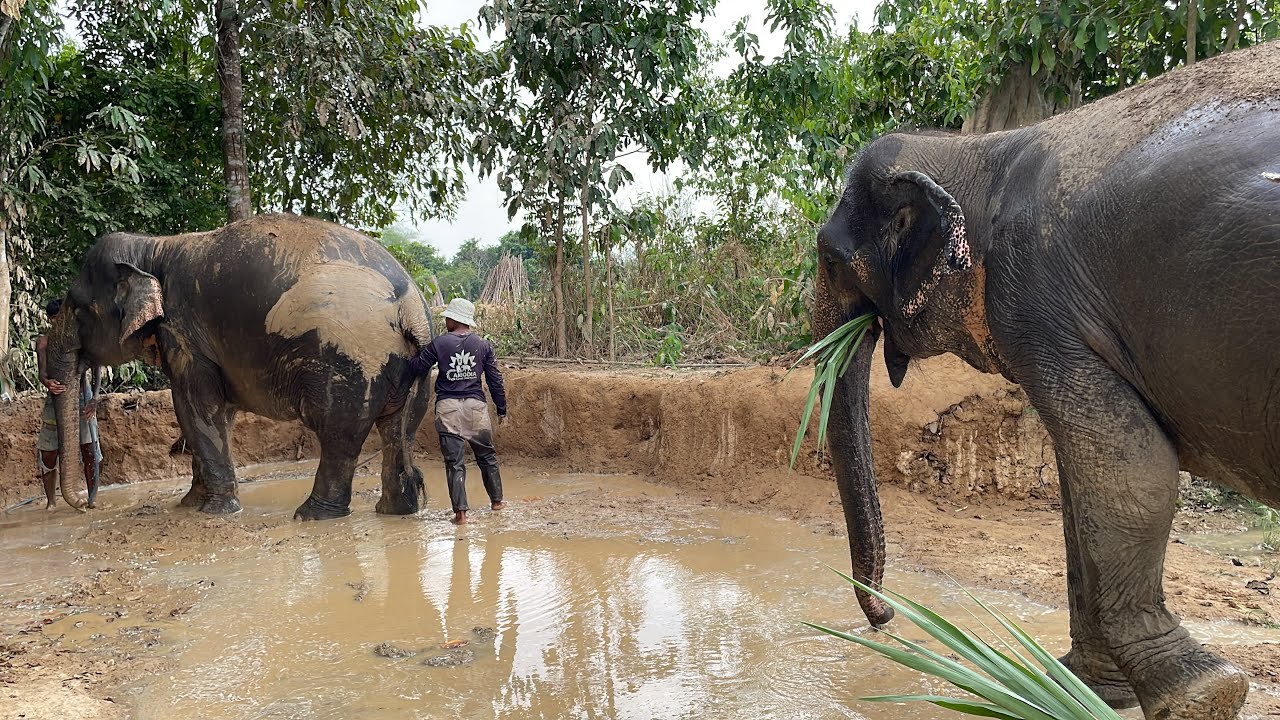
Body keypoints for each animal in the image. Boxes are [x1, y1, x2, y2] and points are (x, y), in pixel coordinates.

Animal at [44, 212, 435, 520]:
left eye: (78, 310)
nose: (88, 505)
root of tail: (413, 305)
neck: (153, 247)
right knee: (397, 429)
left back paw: (311, 516)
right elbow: (220, 412)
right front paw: (190, 504)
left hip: (351, 361)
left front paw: (213, 512)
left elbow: (195, 407)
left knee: (338, 435)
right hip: (409, 370)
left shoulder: (184, 333)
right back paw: (396, 510)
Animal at [815, 41, 1279, 720]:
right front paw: (1089, 689)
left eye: (830, 260)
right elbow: (1080, 482)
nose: (884, 619)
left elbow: (1126, 468)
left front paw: (1203, 695)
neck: (979, 153)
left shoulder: (1037, 302)